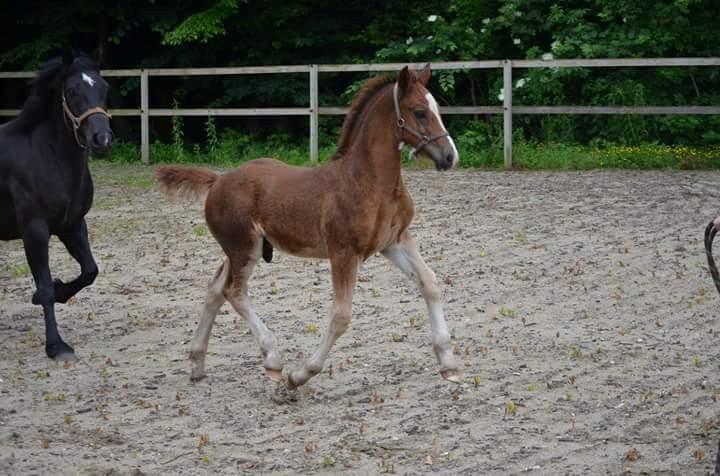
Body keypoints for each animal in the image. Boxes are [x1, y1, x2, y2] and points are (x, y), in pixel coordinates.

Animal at [0, 49, 112, 360]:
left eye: (104, 87)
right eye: (72, 91)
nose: (102, 138)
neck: (46, 156)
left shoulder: (72, 225)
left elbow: (89, 271)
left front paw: (50, 292)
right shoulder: (35, 231)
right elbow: (46, 285)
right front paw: (56, 346)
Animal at [157, 65, 462, 388]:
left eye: (437, 109)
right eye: (419, 112)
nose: (450, 156)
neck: (370, 182)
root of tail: (218, 180)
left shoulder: (396, 241)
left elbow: (430, 283)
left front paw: (448, 363)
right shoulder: (343, 253)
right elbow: (341, 316)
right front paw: (301, 374)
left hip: (240, 250)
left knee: (215, 289)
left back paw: (197, 362)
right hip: (244, 248)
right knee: (234, 291)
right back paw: (273, 358)